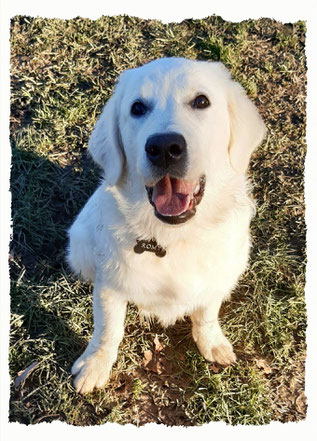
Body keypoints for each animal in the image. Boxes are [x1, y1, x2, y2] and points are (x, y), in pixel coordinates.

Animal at [68, 55, 266, 392]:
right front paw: (95, 364)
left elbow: (207, 313)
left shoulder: (218, 276)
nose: (164, 148)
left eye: (201, 101)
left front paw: (211, 342)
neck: (174, 236)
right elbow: (108, 329)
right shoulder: (110, 284)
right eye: (137, 108)